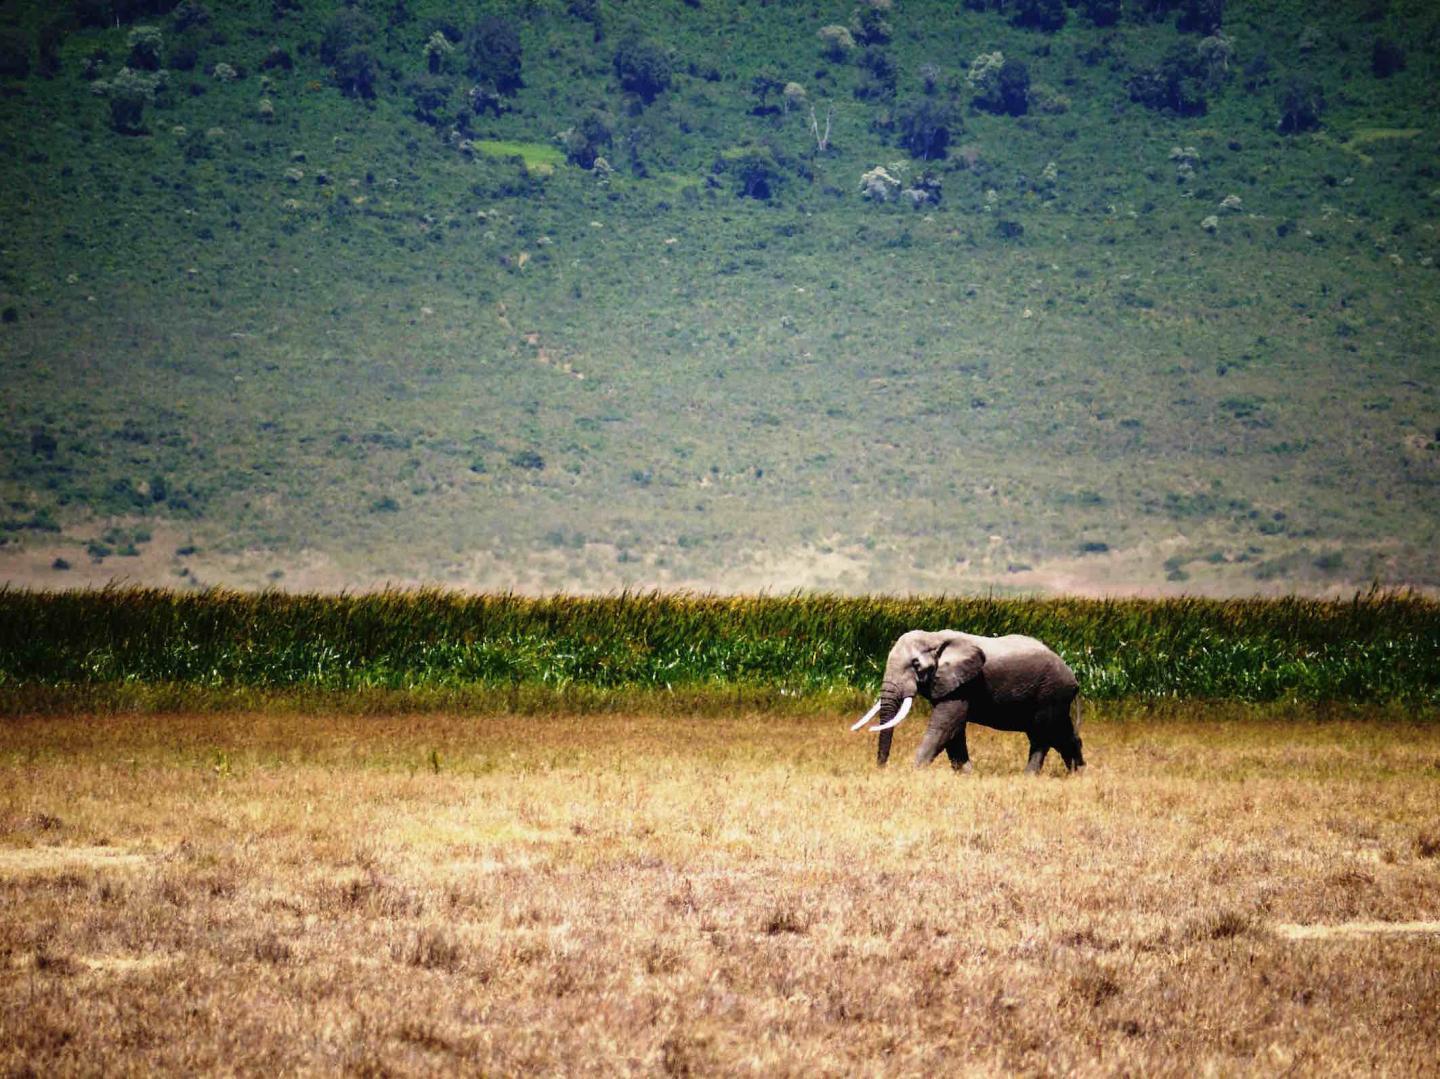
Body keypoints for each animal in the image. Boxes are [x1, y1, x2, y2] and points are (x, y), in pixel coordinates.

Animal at [851, 629, 1084, 774]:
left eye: (916, 665)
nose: (882, 769)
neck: (934, 637)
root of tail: (1074, 677)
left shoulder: (964, 683)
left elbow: (945, 726)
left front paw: (912, 772)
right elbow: (954, 732)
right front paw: (968, 775)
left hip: (1050, 693)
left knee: (1043, 734)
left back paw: (1029, 776)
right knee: (1061, 733)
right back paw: (1077, 773)